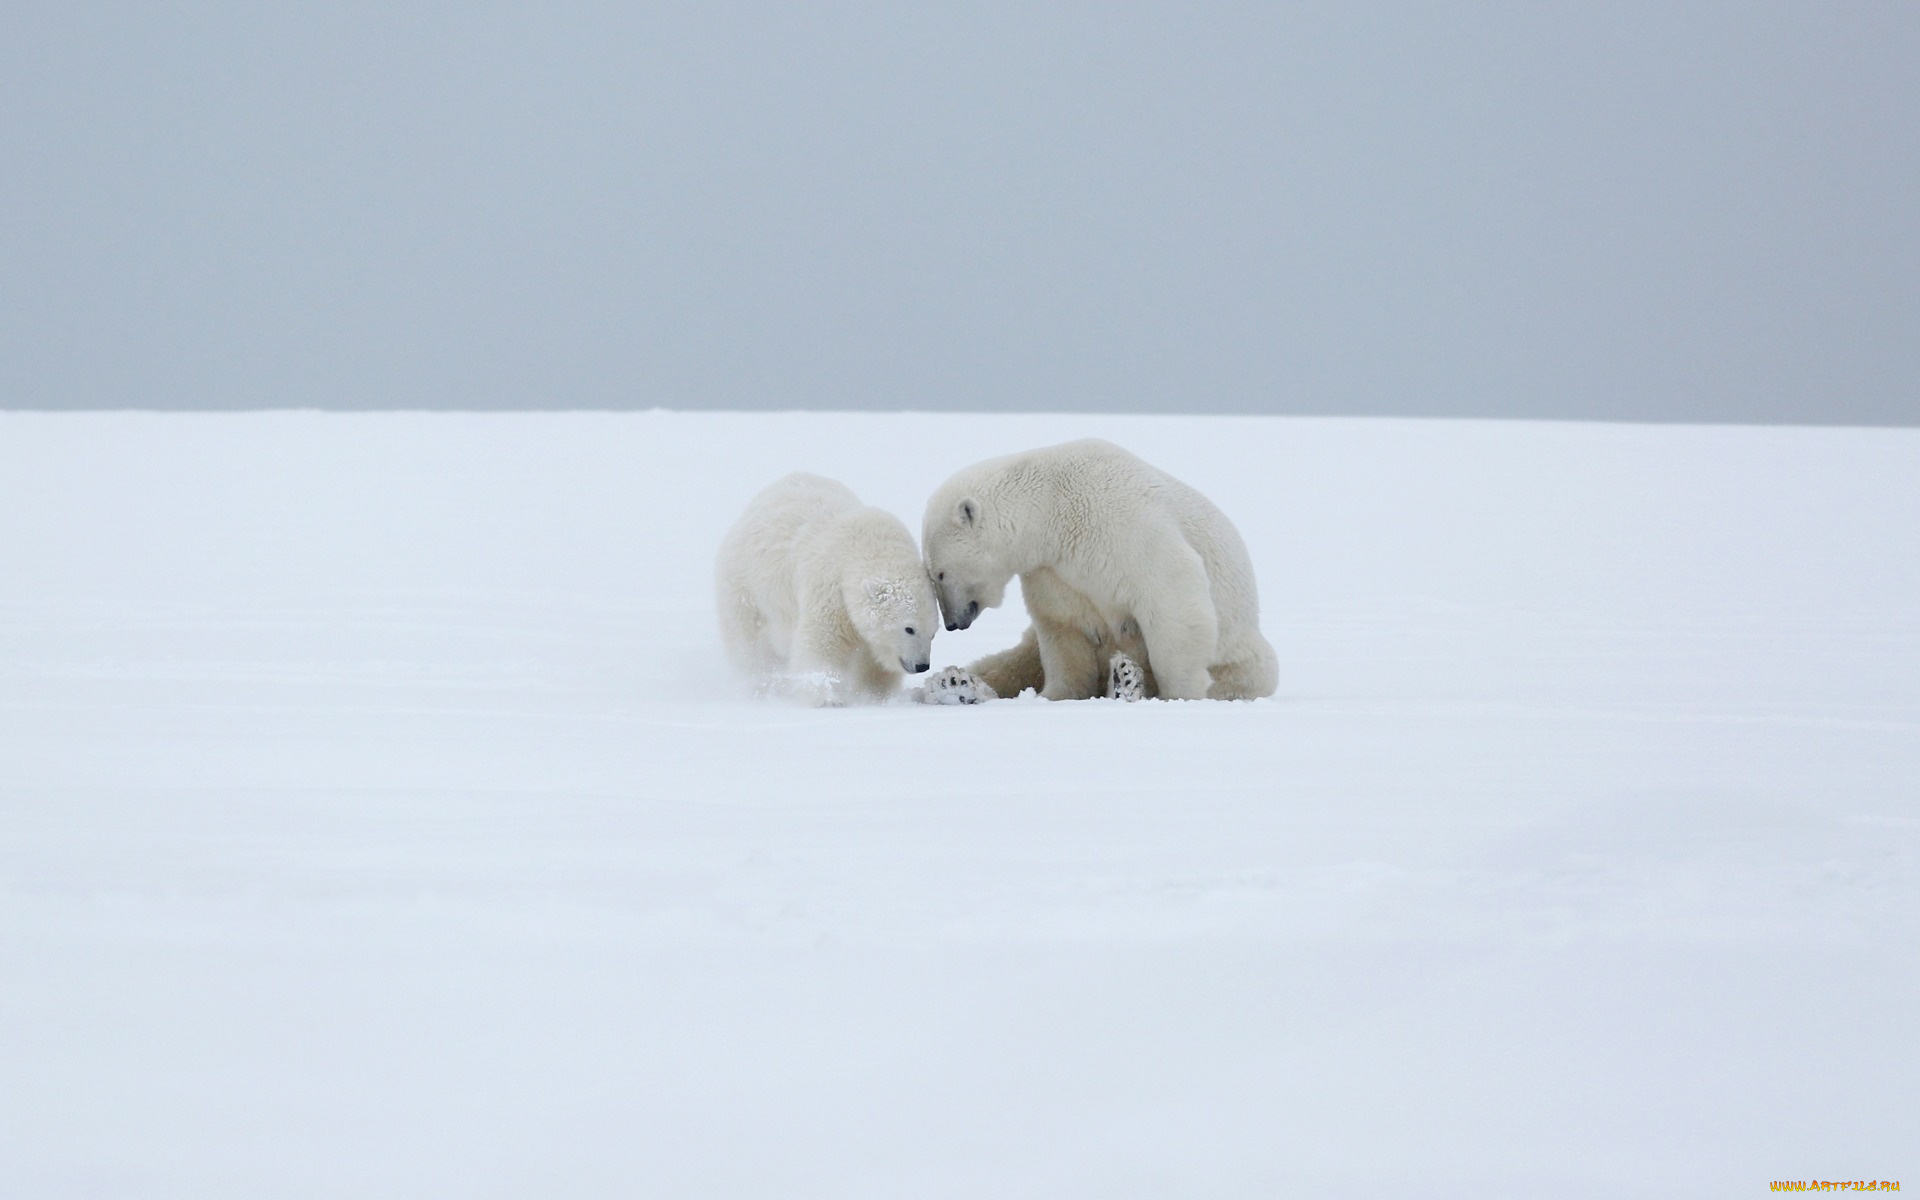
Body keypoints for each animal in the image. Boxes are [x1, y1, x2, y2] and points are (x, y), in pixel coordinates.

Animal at [718, 472, 990, 706]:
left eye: (933, 633)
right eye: (909, 628)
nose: (922, 666)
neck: (870, 546)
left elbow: (874, 663)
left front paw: (875, 696)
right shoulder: (830, 590)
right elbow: (821, 644)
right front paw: (828, 698)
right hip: (746, 586)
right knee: (749, 644)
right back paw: (759, 686)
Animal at [925, 439, 1282, 702]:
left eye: (939, 573)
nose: (953, 623)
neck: (1052, 507)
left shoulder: (1121, 523)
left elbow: (1171, 594)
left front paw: (1181, 694)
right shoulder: (1052, 572)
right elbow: (1063, 631)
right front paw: (1055, 695)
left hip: (1241, 651)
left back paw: (1126, 681)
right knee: (1012, 661)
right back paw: (953, 683)